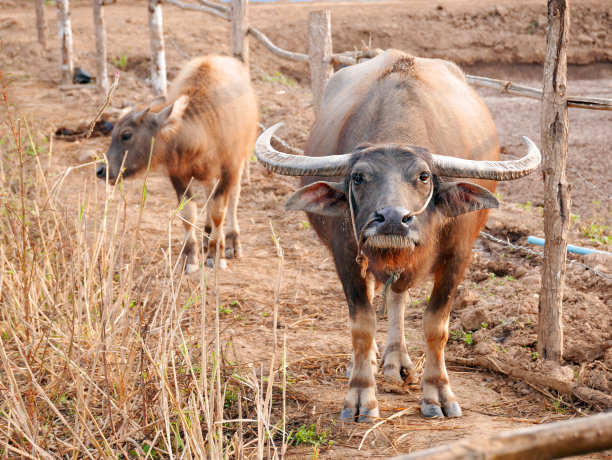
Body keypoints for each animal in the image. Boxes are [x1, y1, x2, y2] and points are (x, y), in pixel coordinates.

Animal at [97, 56, 258, 274]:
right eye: (113, 133)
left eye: (126, 135)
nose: (101, 170)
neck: (204, 131)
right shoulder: (178, 174)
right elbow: (188, 213)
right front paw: (190, 257)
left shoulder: (229, 168)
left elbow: (219, 210)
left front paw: (217, 254)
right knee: (209, 193)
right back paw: (207, 235)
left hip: (240, 160)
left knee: (233, 197)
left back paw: (231, 241)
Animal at [255, 49, 540, 420]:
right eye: (358, 177)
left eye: (423, 176)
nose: (392, 220)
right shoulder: (345, 255)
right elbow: (361, 323)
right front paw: (360, 397)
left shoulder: (458, 255)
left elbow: (436, 325)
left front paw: (438, 394)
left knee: (398, 295)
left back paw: (396, 361)